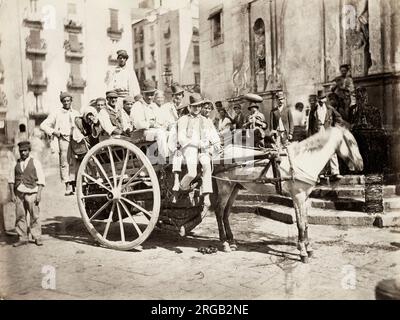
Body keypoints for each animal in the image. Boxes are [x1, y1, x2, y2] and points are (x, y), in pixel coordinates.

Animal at [211, 125, 364, 262]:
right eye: (351, 142)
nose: (360, 165)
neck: (302, 159)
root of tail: (221, 154)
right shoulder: (298, 197)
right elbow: (300, 223)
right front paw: (303, 252)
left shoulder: (305, 198)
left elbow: (306, 222)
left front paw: (308, 248)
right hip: (225, 187)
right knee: (219, 211)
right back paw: (224, 243)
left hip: (235, 187)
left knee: (226, 213)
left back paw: (231, 241)